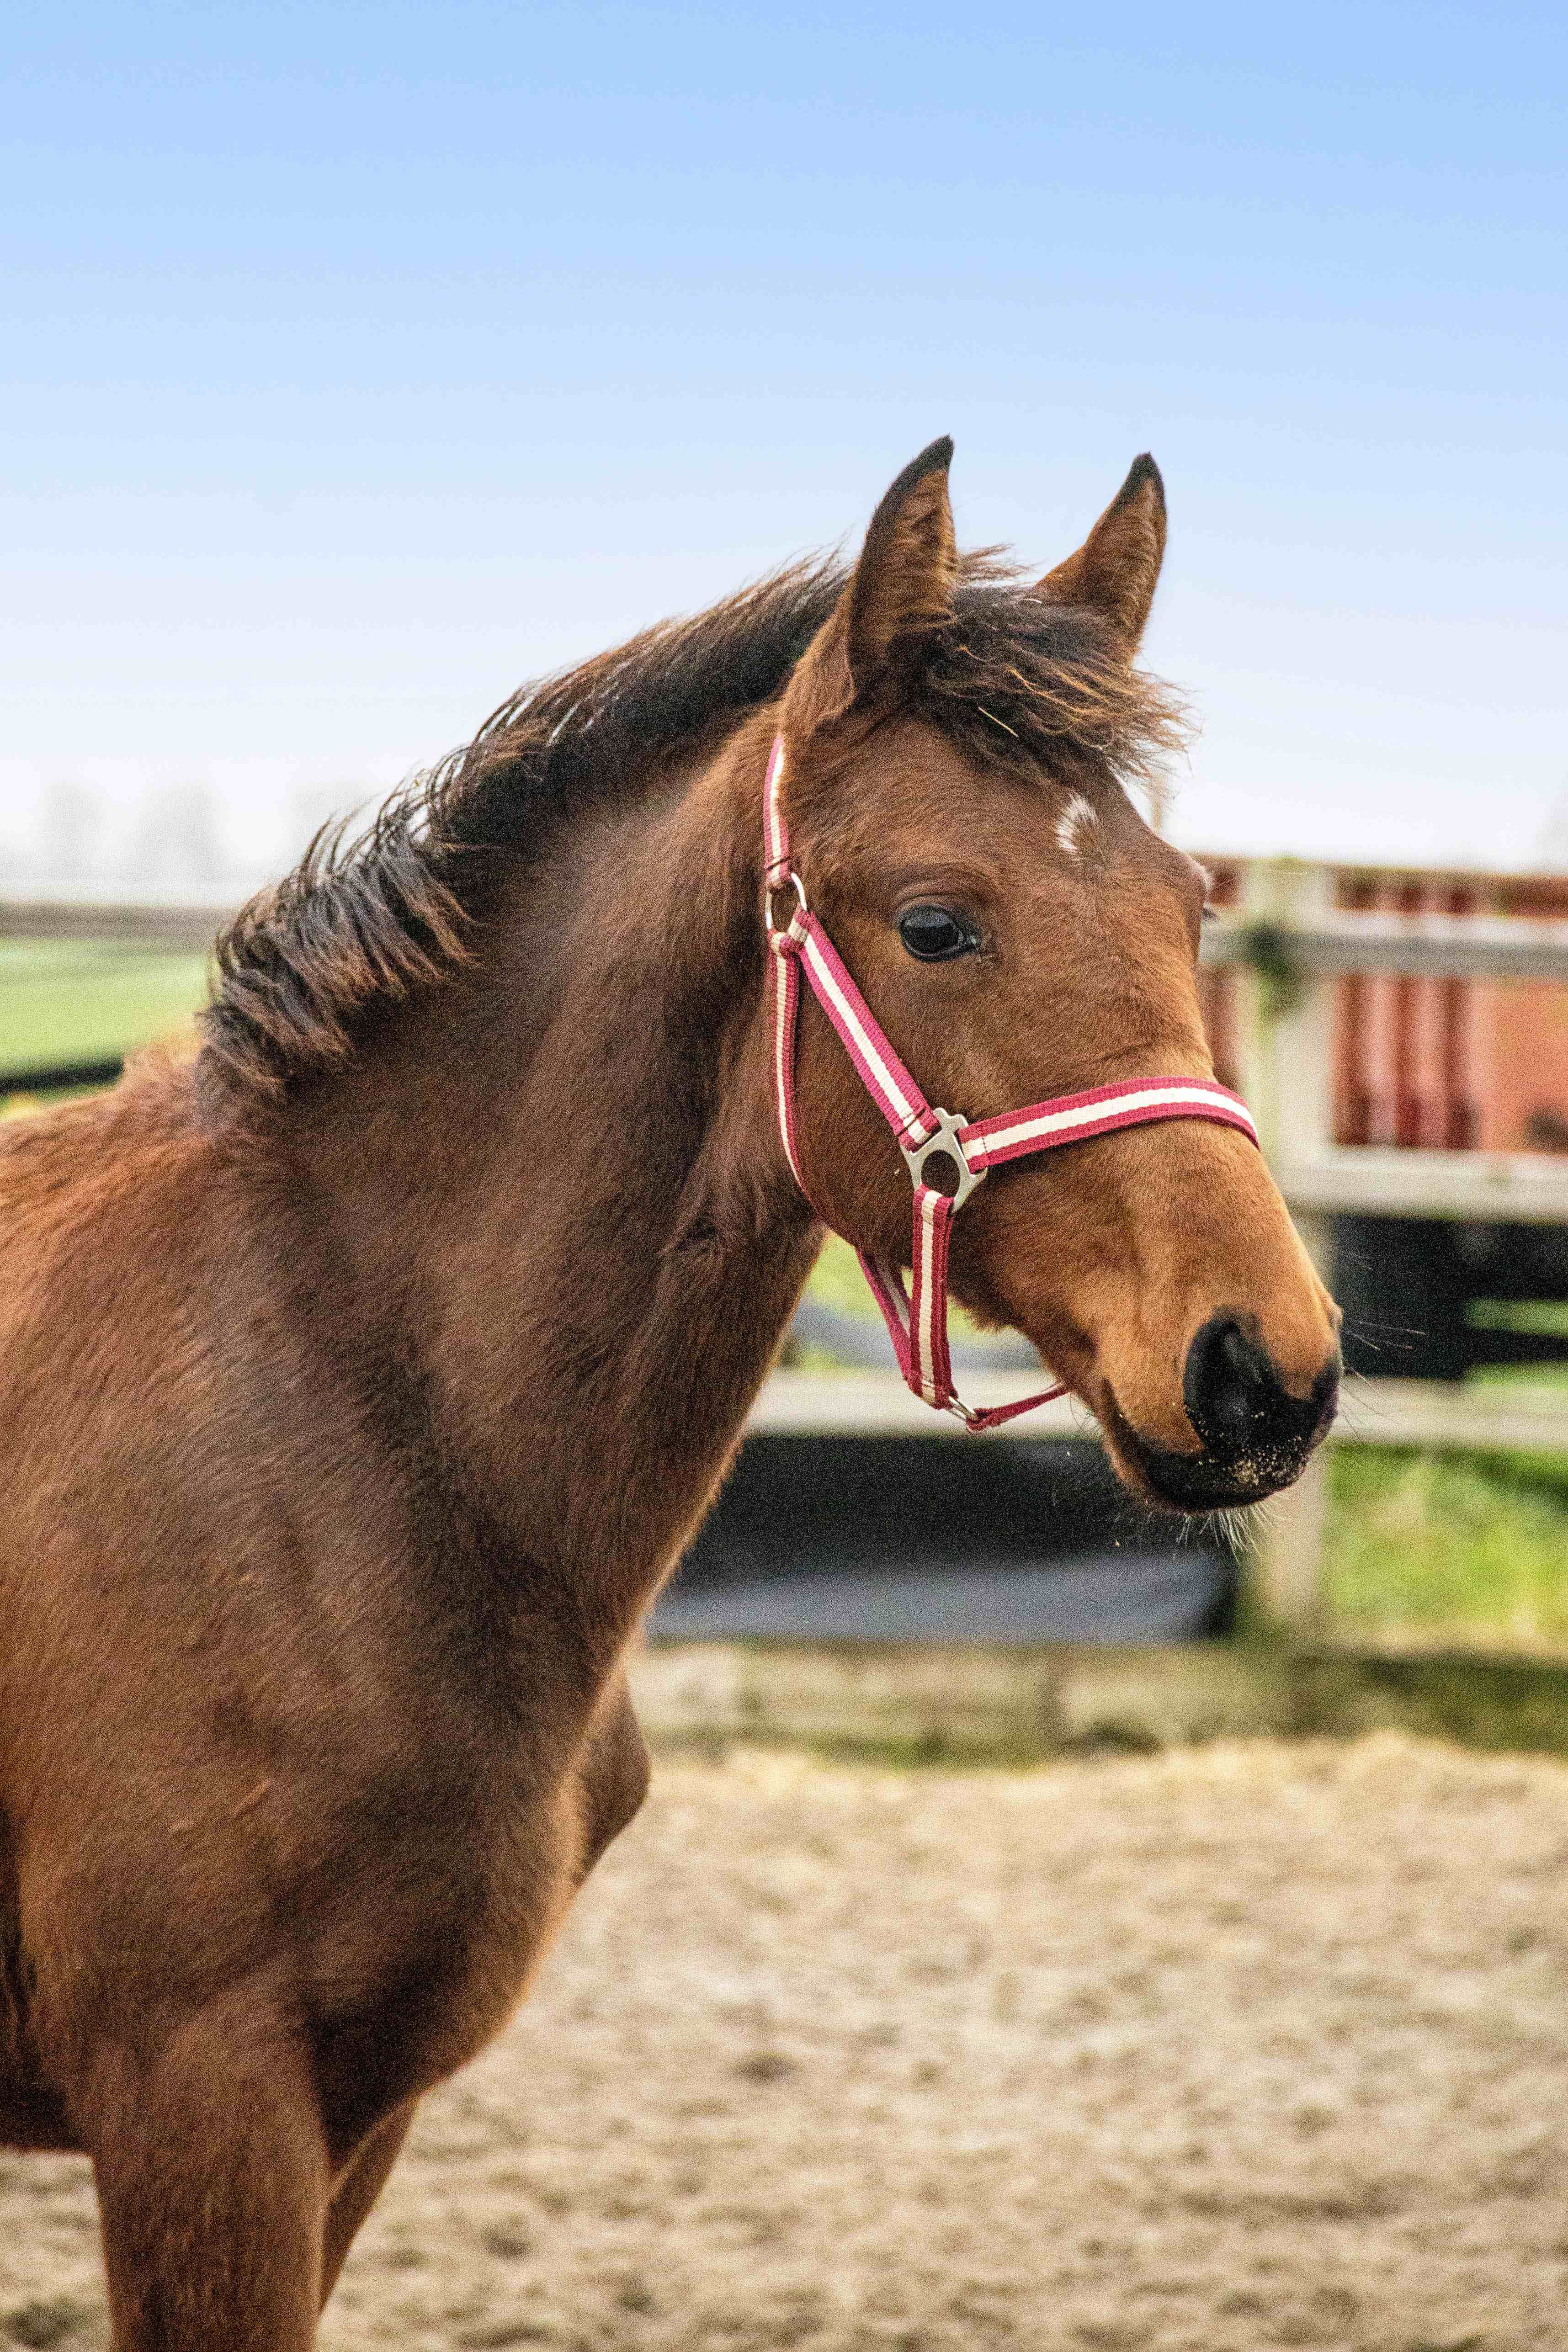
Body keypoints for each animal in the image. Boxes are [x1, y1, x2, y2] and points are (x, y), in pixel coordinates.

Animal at [0, 440, 1340, 2342]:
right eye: (937, 922)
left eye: (1184, 903)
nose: (1261, 1366)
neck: (323, 1410)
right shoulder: (197, 2093)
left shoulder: (356, 2116)